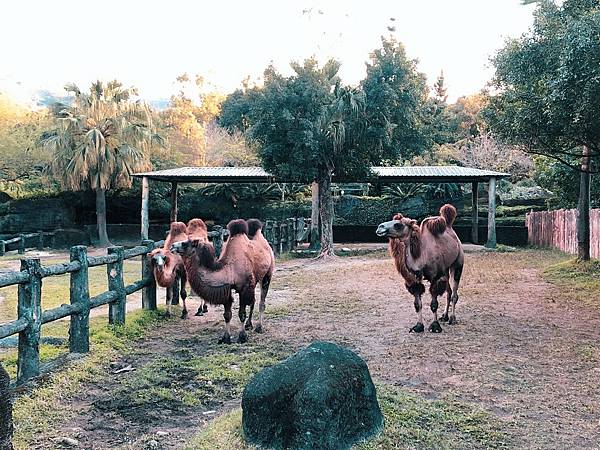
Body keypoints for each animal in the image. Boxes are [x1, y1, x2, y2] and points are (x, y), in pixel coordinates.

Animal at [376, 204, 464, 334]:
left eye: (398, 225)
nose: (379, 227)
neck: (421, 255)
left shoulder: (435, 277)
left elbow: (434, 304)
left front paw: (435, 326)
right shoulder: (415, 277)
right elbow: (418, 304)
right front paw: (418, 326)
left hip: (457, 263)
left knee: (454, 293)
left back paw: (452, 319)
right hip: (445, 270)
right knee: (448, 292)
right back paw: (445, 316)